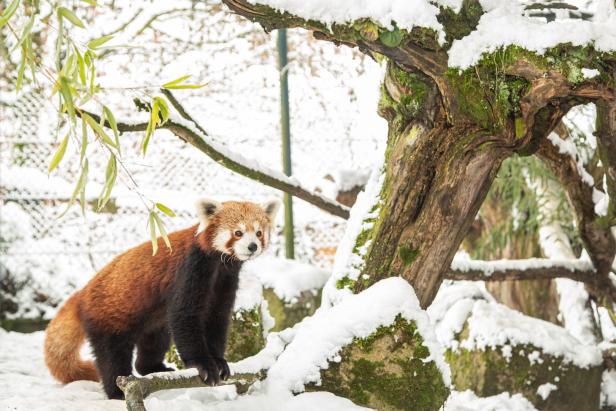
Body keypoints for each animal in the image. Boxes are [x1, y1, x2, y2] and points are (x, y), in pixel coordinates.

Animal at [44, 199, 280, 400]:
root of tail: (82, 294)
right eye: (238, 233)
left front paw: (220, 362)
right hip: (107, 317)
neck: (218, 265)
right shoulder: (190, 268)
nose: (252, 246)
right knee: (112, 356)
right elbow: (184, 315)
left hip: (153, 322)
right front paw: (203, 365)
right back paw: (117, 391)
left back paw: (153, 368)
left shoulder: (226, 279)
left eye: (259, 233)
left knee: (155, 341)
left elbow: (217, 318)